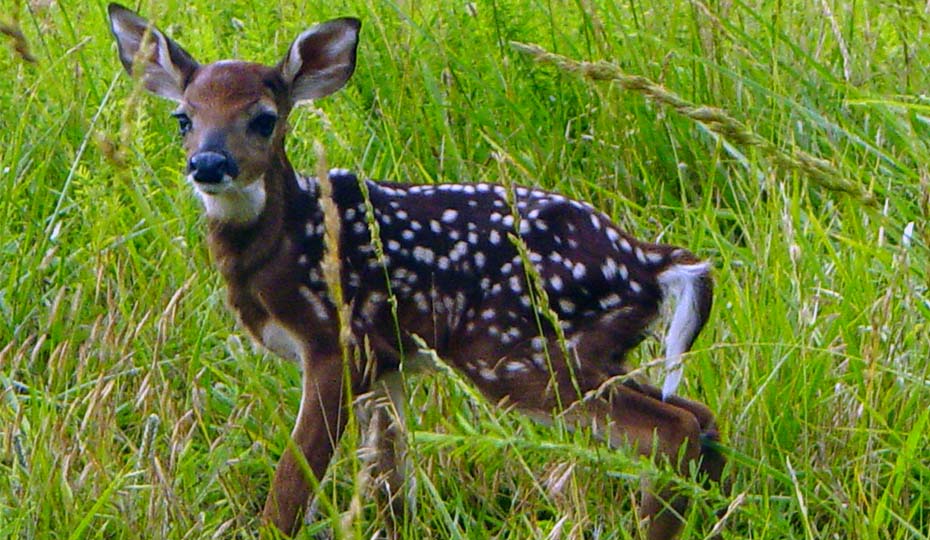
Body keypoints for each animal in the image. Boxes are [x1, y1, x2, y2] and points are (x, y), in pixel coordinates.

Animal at [107, 3, 725, 539]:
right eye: (183, 118)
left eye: (263, 119)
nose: (208, 163)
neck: (290, 243)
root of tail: (649, 261)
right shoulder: (389, 362)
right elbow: (389, 488)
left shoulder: (339, 343)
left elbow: (290, 491)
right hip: (587, 350)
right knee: (699, 415)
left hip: (515, 350)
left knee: (671, 430)